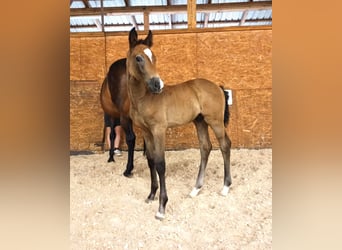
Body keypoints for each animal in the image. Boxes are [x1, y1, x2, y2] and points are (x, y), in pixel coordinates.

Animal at [126, 26, 232, 219]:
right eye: (138, 58)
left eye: (154, 57)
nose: (157, 85)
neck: (143, 98)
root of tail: (218, 87)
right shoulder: (146, 131)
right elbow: (151, 160)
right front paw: (151, 195)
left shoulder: (159, 130)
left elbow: (160, 164)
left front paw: (161, 207)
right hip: (200, 122)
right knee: (206, 147)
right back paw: (195, 189)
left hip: (215, 121)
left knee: (225, 145)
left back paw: (225, 187)